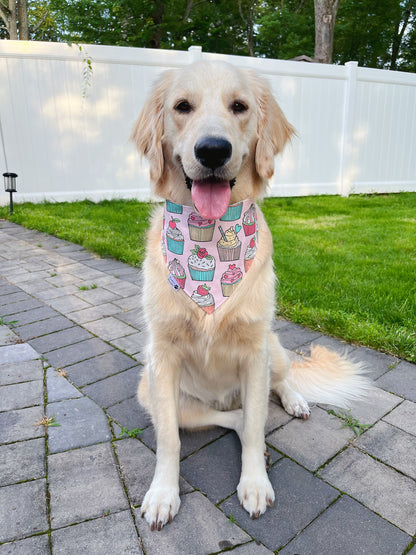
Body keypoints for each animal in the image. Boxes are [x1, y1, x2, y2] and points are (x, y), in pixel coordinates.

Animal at [131, 58, 370, 532]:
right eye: (182, 107)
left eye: (239, 107)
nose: (213, 151)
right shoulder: (161, 358)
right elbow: (170, 439)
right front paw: (163, 494)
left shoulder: (255, 351)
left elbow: (259, 430)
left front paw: (255, 484)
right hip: (151, 390)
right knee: (232, 418)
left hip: (272, 349)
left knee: (280, 385)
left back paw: (295, 401)